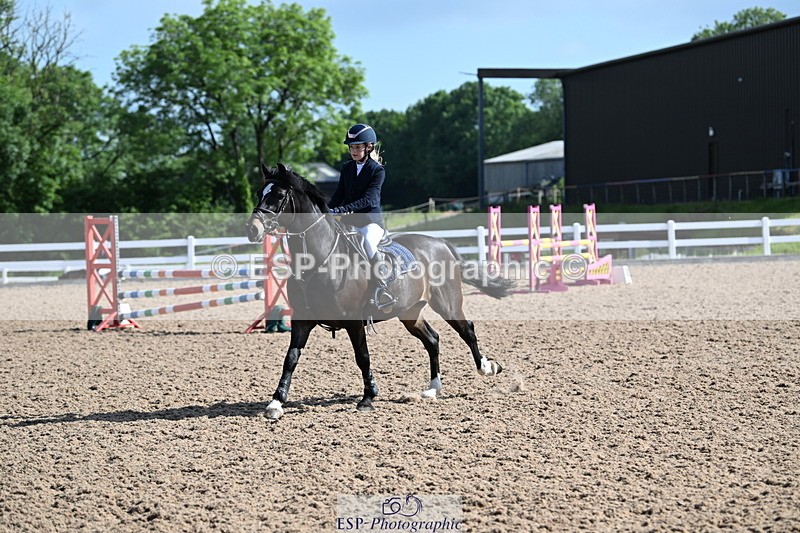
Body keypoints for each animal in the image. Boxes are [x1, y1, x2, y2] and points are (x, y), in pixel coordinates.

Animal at [246, 163, 514, 420]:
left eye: (279, 195)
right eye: (259, 193)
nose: (252, 229)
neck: (319, 259)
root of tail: (441, 243)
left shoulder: (353, 322)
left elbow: (362, 357)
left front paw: (368, 397)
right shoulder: (302, 320)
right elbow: (290, 359)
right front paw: (276, 403)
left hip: (447, 304)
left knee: (467, 330)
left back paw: (486, 367)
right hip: (410, 312)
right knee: (432, 339)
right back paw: (432, 388)